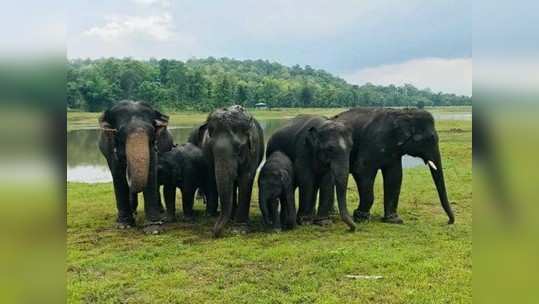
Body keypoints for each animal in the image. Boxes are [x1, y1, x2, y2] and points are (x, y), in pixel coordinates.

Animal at [97, 100, 173, 233]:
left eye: (152, 133)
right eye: (120, 133)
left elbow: (151, 173)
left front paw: (153, 229)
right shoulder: (110, 148)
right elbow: (118, 175)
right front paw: (124, 225)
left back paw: (159, 212)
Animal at [194, 105, 266, 238]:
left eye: (238, 149)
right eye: (211, 148)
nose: (215, 233)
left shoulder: (253, 151)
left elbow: (246, 178)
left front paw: (240, 229)